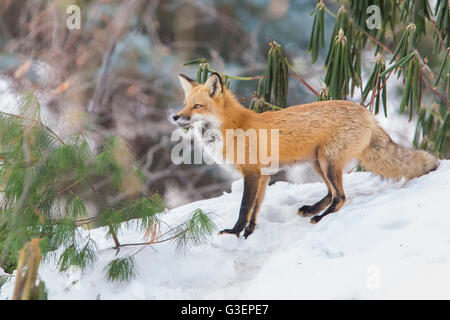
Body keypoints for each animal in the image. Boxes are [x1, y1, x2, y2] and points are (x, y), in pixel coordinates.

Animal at [173, 72, 440, 238]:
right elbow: (255, 210)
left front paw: (234, 232)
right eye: (185, 103)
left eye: (197, 106)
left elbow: (244, 207)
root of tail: (367, 113)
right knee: (332, 193)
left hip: (327, 161)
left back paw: (321, 218)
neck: (232, 126)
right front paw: (248, 234)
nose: (175, 116)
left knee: (340, 197)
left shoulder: (251, 173)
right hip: (317, 163)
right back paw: (312, 210)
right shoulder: (264, 176)